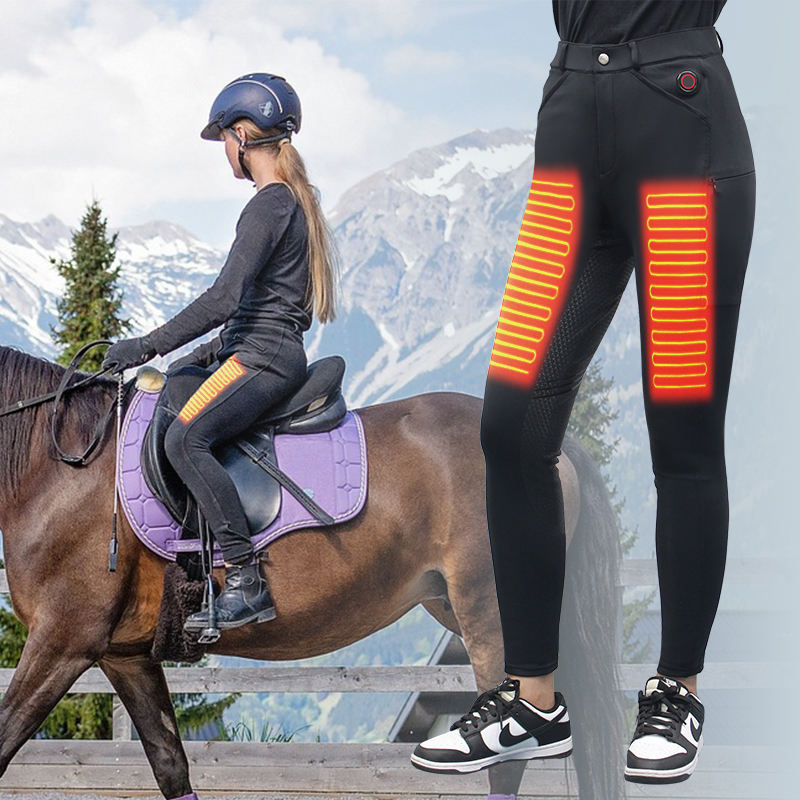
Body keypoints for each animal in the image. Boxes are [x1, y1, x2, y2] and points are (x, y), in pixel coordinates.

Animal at [0, 345, 626, 799]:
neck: (61, 471)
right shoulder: (123, 656)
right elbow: (170, 765)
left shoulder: (63, 639)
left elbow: (5, 740)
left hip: (489, 613)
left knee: (507, 755)